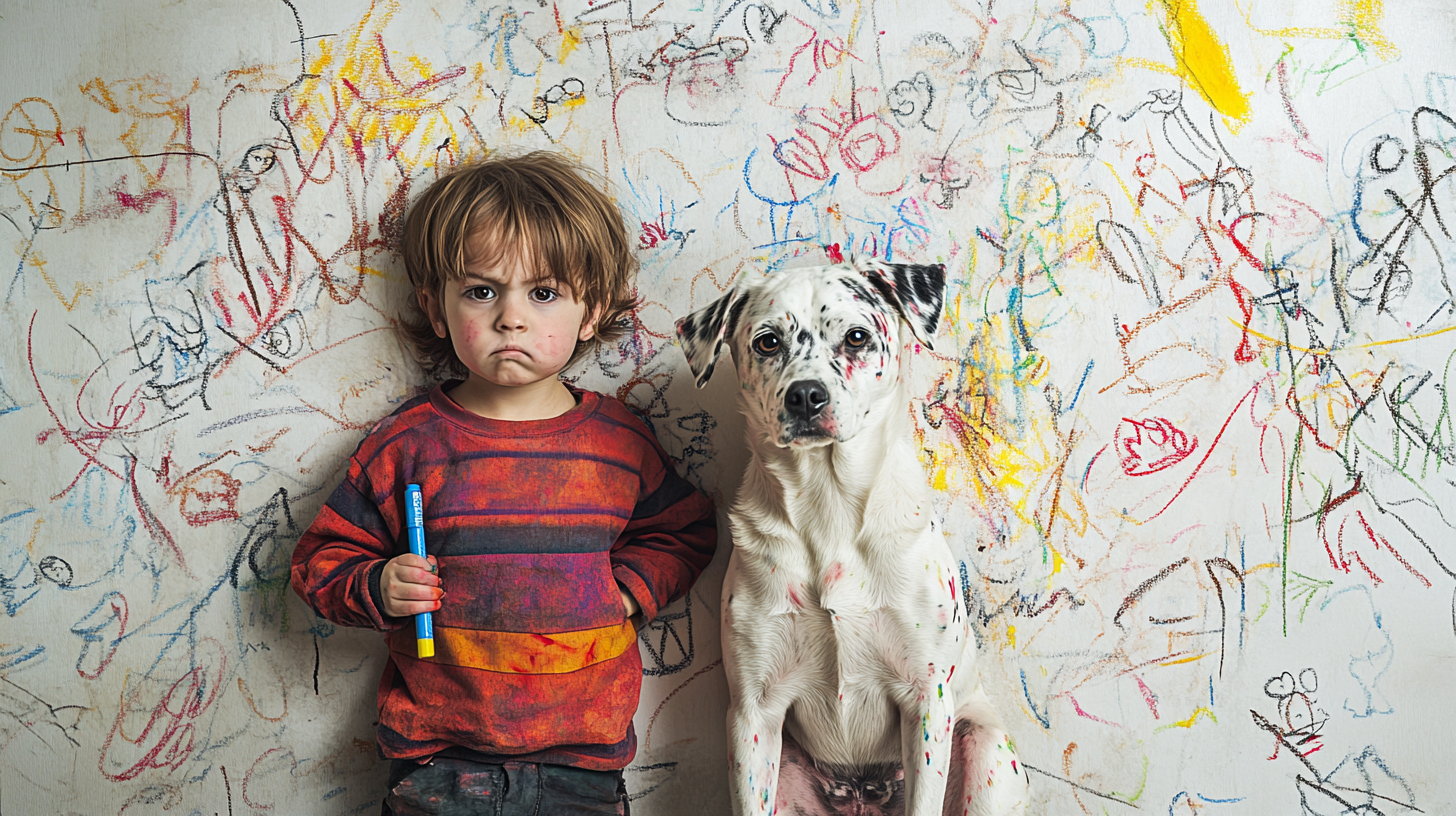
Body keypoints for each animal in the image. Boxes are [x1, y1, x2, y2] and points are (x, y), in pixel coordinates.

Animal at [678, 260, 1030, 816]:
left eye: (856, 337)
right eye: (767, 341)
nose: (805, 395)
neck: (830, 509)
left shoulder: (926, 700)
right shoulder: (752, 713)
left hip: (983, 743)